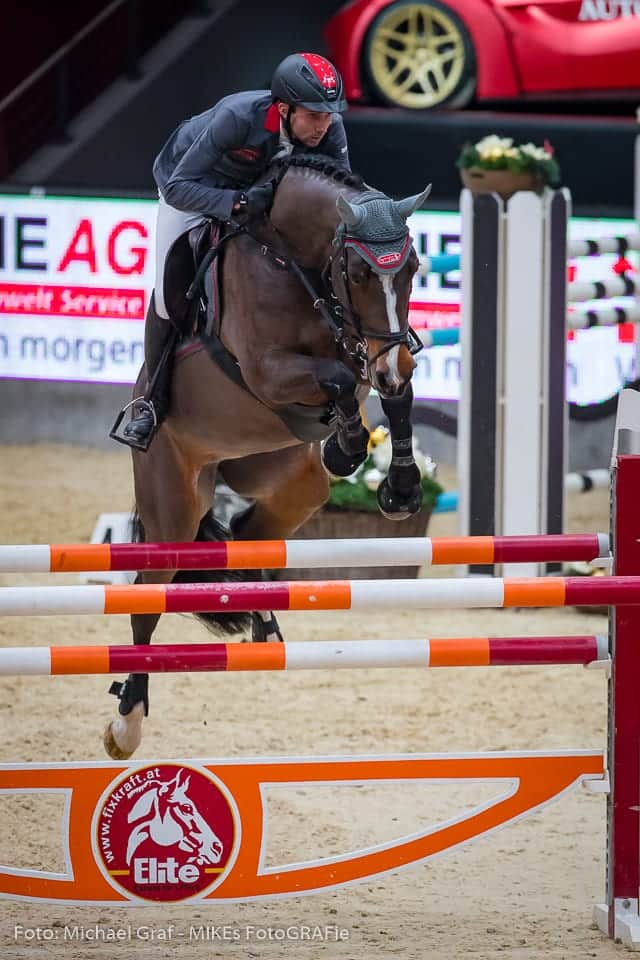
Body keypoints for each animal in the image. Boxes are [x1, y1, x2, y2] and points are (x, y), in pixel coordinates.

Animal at [105, 154, 431, 760]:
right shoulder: (267, 369)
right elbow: (339, 377)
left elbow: (383, 389)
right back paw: (126, 723)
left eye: (413, 267)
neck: (293, 260)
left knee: (248, 532)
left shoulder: (369, 358)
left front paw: (397, 486)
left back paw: (262, 617)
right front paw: (348, 447)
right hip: (172, 501)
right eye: (357, 273)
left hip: (286, 476)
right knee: (147, 597)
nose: (394, 360)